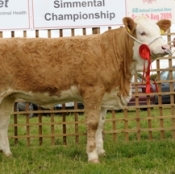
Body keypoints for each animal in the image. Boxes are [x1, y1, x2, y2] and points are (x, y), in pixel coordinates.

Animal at [0, 15, 171, 162]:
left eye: (159, 31)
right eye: (143, 32)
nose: (165, 47)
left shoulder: (104, 97)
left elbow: (100, 125)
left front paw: (101, 152)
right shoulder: (92, 91)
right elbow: (93, 124)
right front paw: (93, 157)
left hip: (8, 97)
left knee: (4, 123)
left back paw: (8, 154)